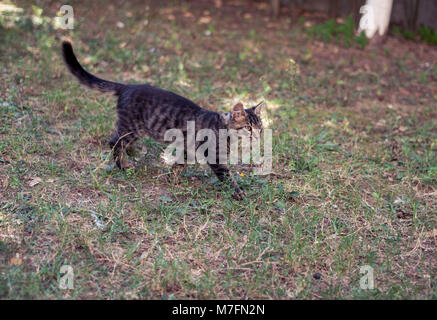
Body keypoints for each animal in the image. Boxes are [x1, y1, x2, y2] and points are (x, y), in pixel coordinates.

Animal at [60, 41, 262, 199]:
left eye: (260, 127)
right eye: (248, 128)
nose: (258, 136)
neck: (224, 130)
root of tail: (128, 86)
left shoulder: (188, 148)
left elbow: (178, 164)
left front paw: (172, 179)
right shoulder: (214, 156)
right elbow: (227, 177)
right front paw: (239, 193)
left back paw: (131, 153)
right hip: (132, 127)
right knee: (114, 142)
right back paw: (124, 166)